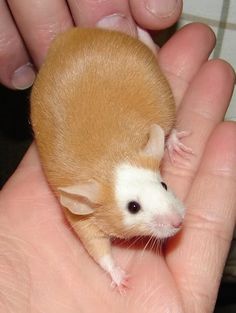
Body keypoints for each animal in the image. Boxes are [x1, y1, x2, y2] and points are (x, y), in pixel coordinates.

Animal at [30, 27, 188, 290]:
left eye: (164, 185)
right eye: (133, 207)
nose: (178, 222)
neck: (112, 160)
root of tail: (77, 34)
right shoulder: (81, 216)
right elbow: (95, 244)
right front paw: (118, 274)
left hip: (163, 96)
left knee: (169, 124)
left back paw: (173, 141)